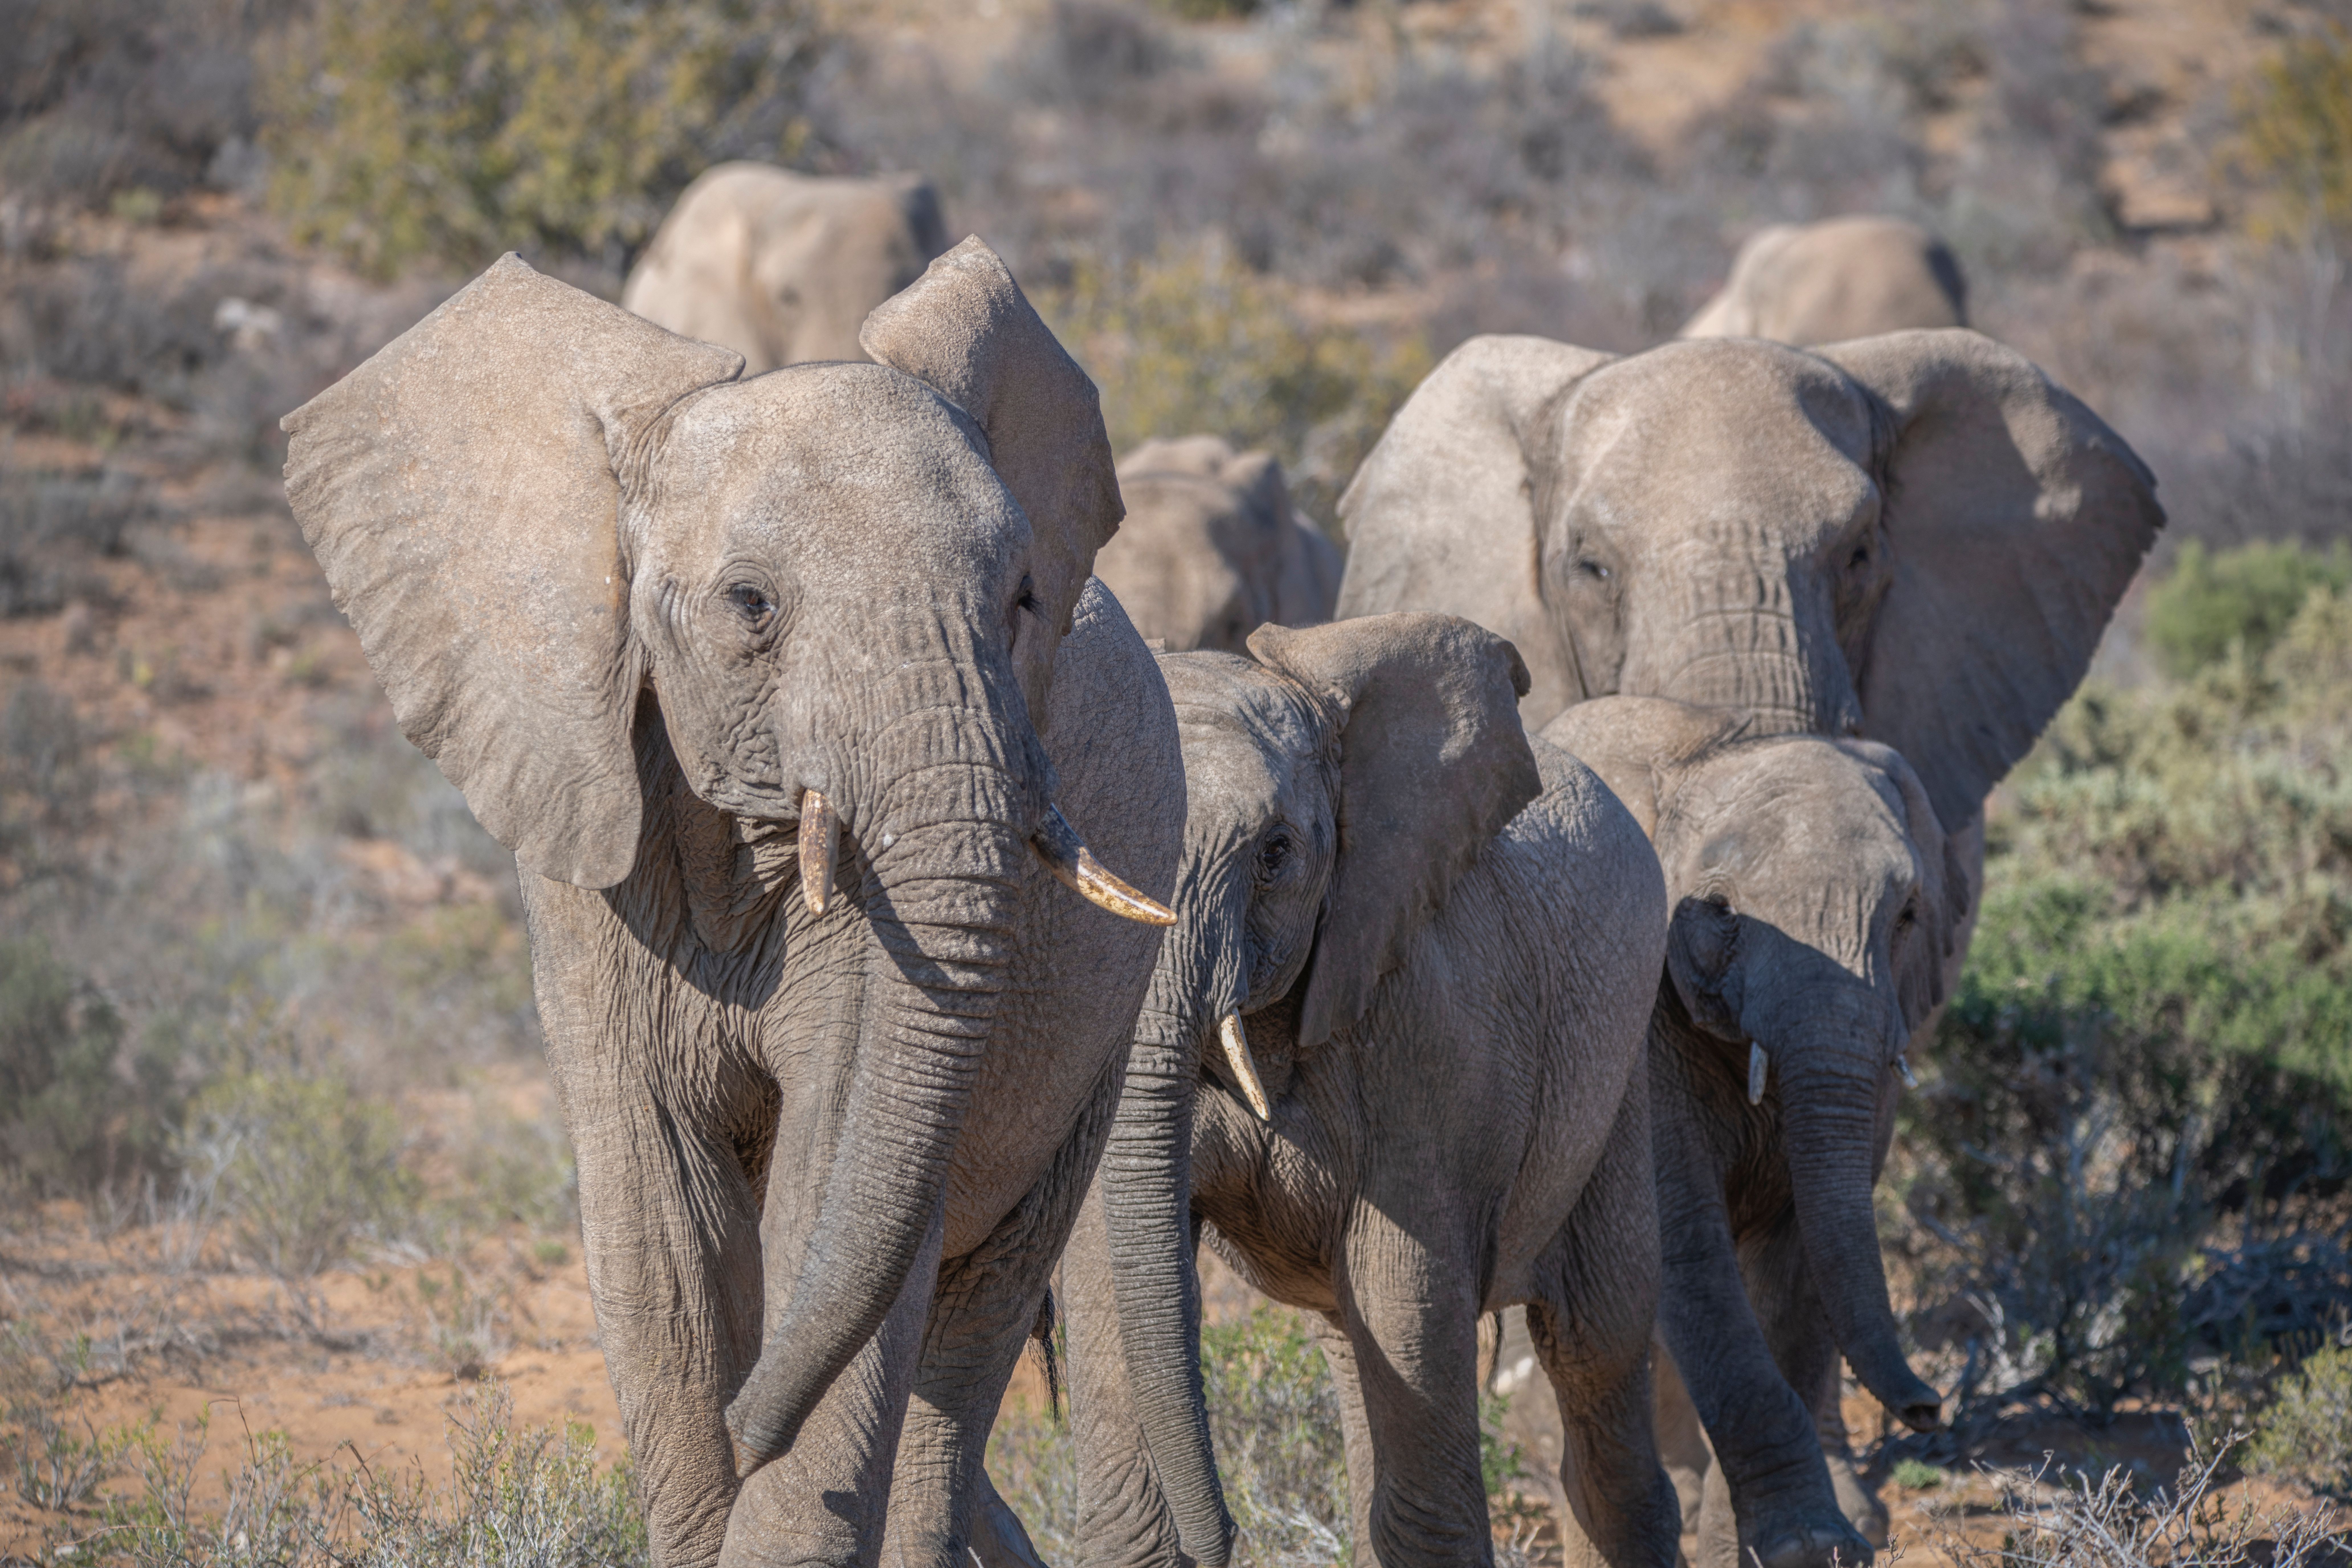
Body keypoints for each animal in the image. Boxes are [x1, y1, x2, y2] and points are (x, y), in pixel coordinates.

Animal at [282, 239, 1198, 1568]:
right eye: (751, 606)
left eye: (1022, 599)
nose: (750, 1423)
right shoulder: (589, 832)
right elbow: (664, 1232)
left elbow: (836, 1190)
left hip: (1104, 1037)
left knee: (967, 1334)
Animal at [1046, 612, 1681, 1568]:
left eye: (1275, 854)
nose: (1227, 1537)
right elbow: (1105, 1267)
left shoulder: (1427, 1030)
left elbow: (1404, 1287)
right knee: (1354, 1347)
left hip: (1618, 1073)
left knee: (1596, 1352)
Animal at [1541, 697, 1971, 1568]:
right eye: (1722, 913)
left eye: (1908, 914)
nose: (1930, 1409)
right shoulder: (1633, 1011)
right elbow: (1687, 1240)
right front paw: (1807, 1544)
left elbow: (1799, 1248)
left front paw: (1795, 1547)